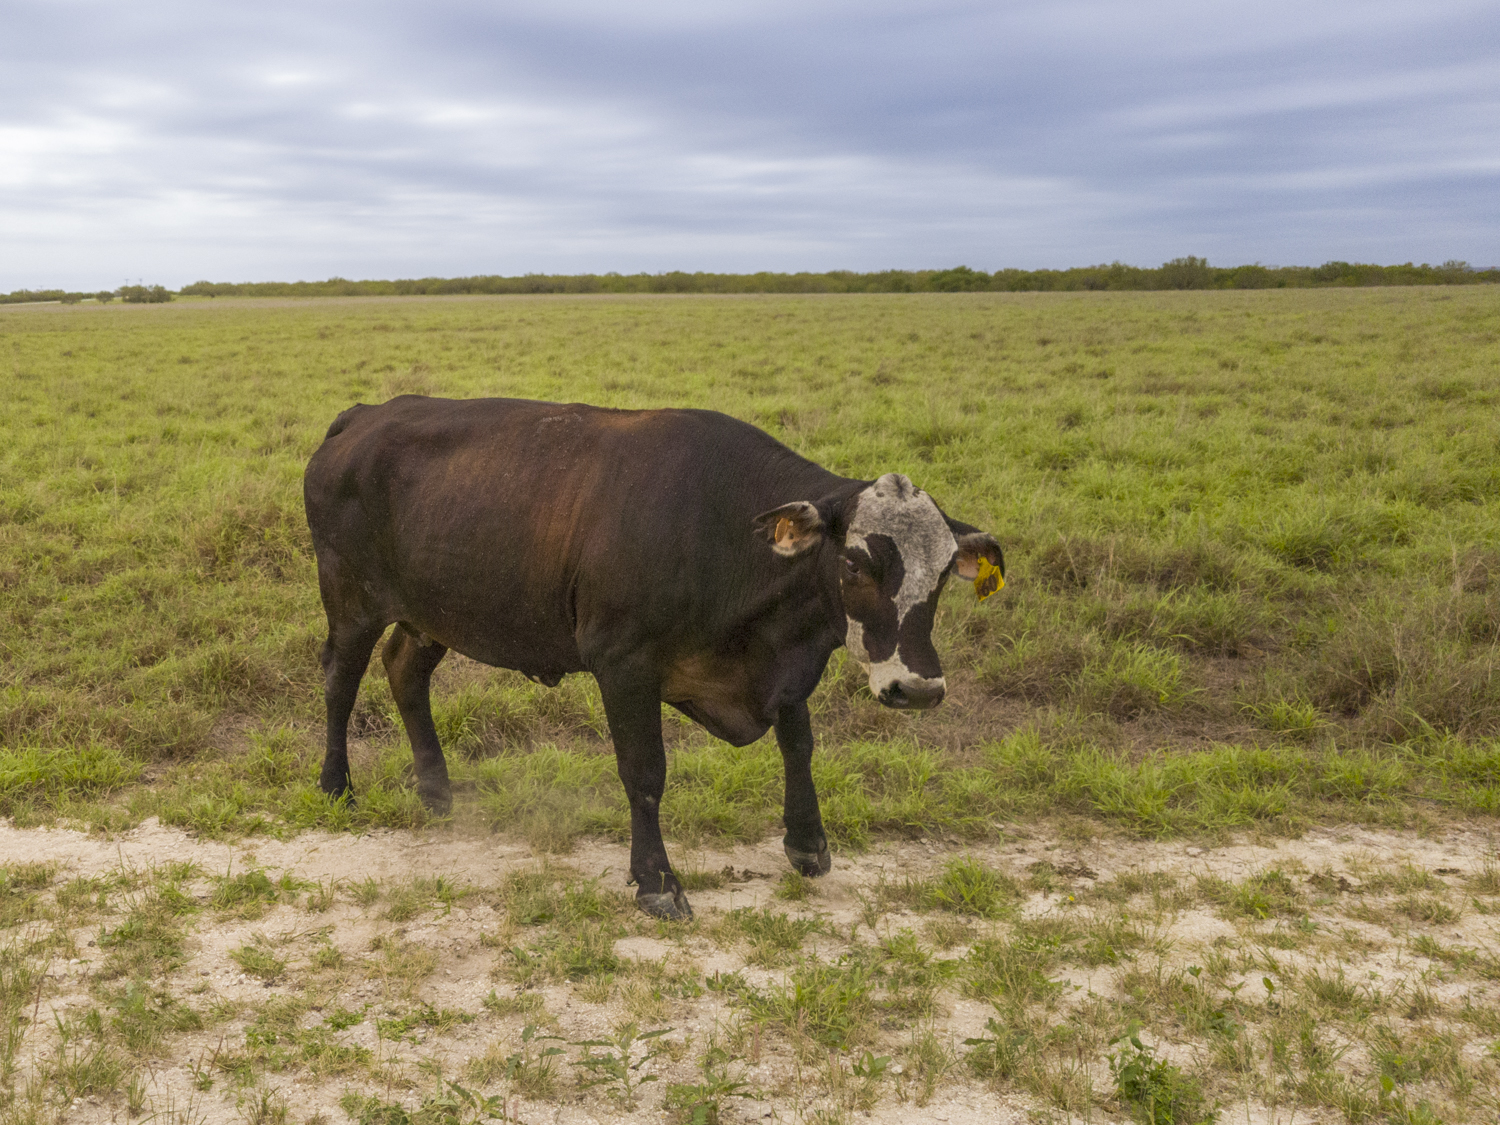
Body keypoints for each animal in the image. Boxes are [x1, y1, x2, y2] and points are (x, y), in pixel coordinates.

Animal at [303, 396, 1004, 920]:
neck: (725, 531)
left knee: (404, 671)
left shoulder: (782, 669)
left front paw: (807, 843)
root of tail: (367, 414)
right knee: (340, 679)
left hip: (432, 613)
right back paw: (336, 784)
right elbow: (644, 772)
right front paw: (657, 881)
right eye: (856, 562)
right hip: (351, 600)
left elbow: (798, 747)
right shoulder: (624, 664)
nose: (917, 689)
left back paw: (437, 789)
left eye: (945, 571)